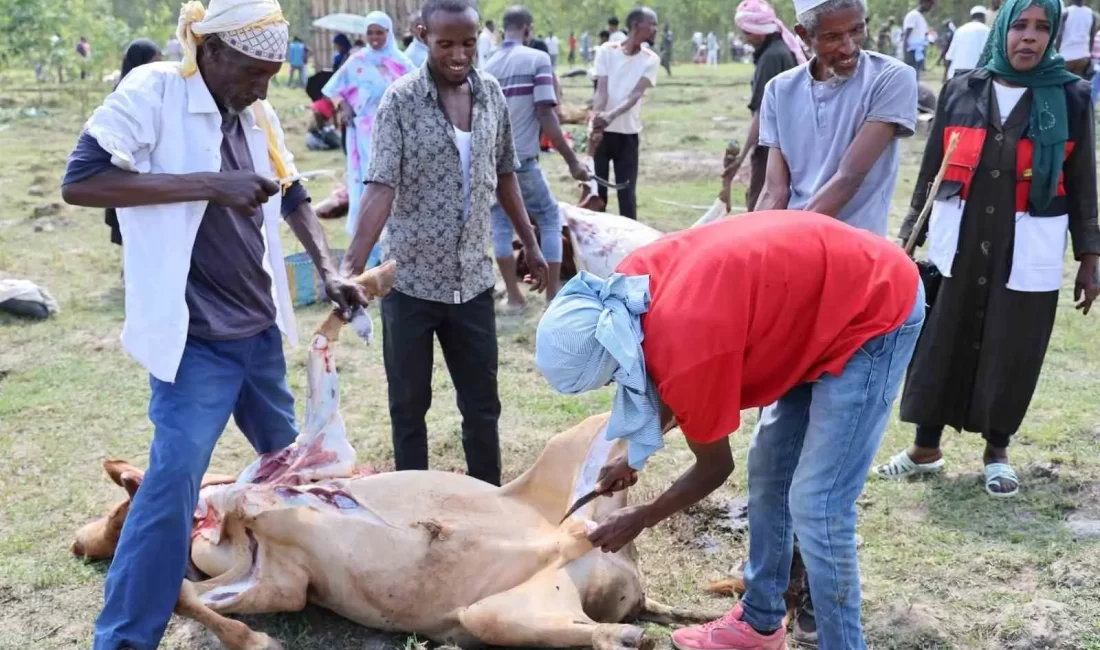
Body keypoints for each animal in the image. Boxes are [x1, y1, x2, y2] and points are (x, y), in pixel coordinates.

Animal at [73, 259, 717, 650]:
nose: (80, 546)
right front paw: (254, 637)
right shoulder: (282, 582)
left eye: (117, 513)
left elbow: (320, 343)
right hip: (503, 612)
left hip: (574, 453)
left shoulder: (311, 453)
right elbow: (187, 593)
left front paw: (369, 281)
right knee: (610, 635)